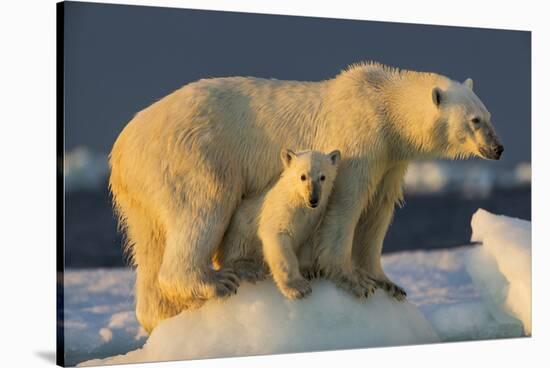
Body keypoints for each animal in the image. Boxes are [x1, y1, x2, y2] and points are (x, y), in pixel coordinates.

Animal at [111, 61, 504, 332]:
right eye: (474, 121)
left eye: (489, 115)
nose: (498, 148)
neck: (382, 104)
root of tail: (122, 147)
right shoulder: (357, 141)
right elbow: (346, 204)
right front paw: (353, 280)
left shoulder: (391, 160)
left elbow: (377, 213)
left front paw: (387, 283)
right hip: (193, 154)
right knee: (203, 207)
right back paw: (217, 281)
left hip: (142, 191)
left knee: (150, 243)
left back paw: (163, 314)